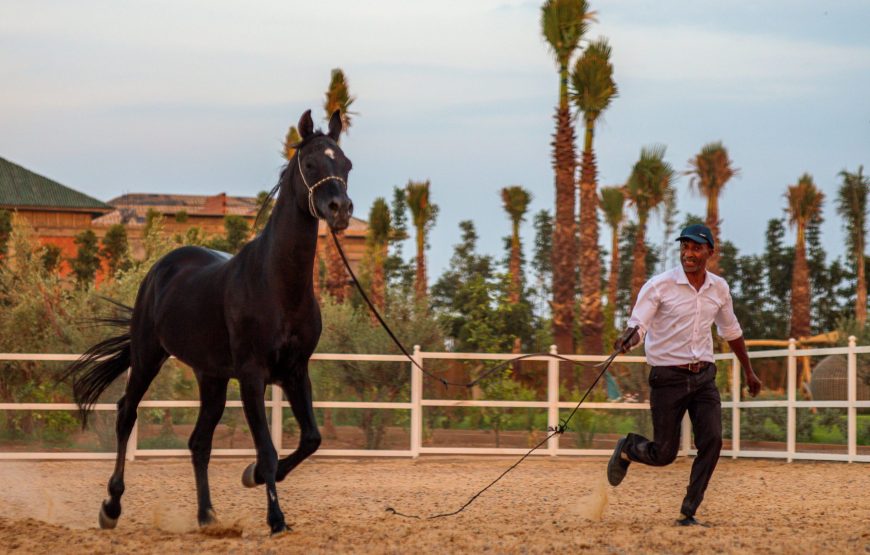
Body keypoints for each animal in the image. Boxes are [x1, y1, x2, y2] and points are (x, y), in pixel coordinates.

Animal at [64, 109, 356, 536]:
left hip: (211, 378)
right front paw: (275, 517)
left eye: (346, 164)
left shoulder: (295, 372)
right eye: (310, 163)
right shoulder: (252, 376)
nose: (340, 209)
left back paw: (206, 516)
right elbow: (267, 450)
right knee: (126, 414)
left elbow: (311, 439)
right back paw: (111, 508)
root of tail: (161, 268)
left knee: (198, 442)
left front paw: (251, 477)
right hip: (147, 357)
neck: (277, 285)